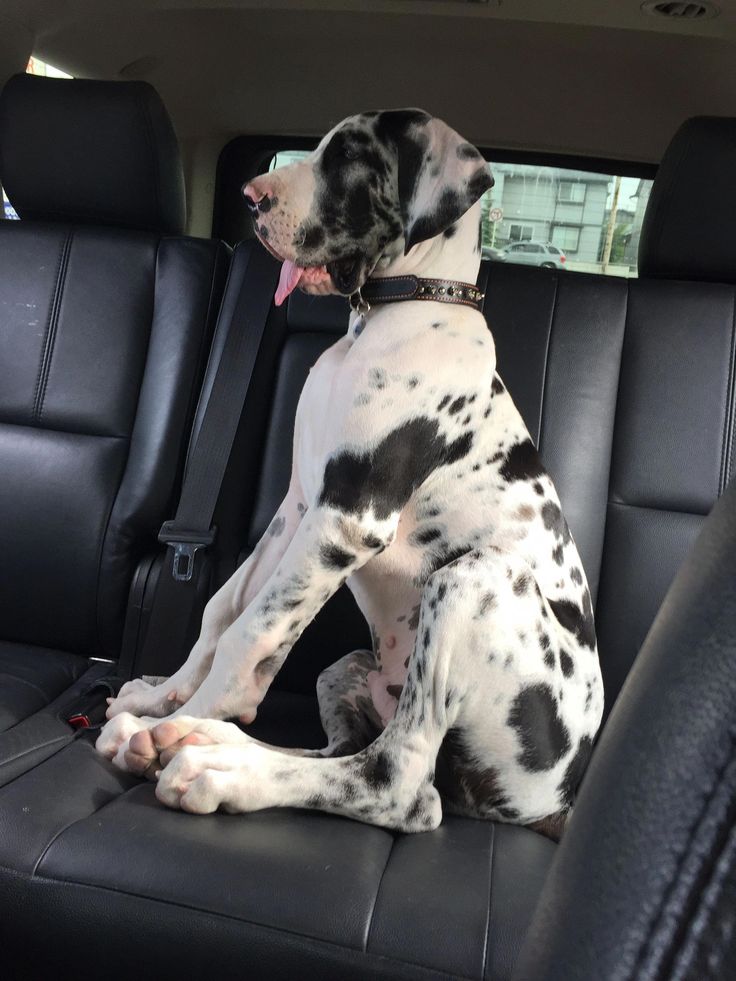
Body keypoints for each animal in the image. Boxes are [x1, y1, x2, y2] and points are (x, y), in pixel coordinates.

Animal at [98, 111, 604, 840]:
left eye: (354, 159)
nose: (251, 199)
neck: (395, 311)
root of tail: (558, 796)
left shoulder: (348, 516)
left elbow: (254, 627)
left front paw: (190, 709)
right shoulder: (301, 503)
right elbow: (226, 606)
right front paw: (168, 699)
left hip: (472, 580)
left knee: (398, 783)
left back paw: (214, 763)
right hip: (351, 667)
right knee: (343, 751)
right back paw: (205, 741)